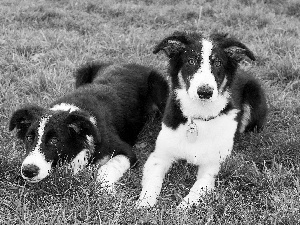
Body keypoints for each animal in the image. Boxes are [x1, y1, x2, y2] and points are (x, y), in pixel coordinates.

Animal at [9, 60, 169, 189]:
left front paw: (105, 190)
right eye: (29, 138)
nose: (28, 171)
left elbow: (106, 168)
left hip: (158, 86)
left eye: (54, 140)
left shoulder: (128, 152)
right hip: (84, 71)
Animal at [137, 31, 268, 209]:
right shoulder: (160, 155)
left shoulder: (213, 164)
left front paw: (183, 207)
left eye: (218, 63)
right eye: (191, 61)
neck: (199, 117)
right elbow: (153, 180)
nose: (205, 92)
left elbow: (198, 187)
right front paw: (145, 203)